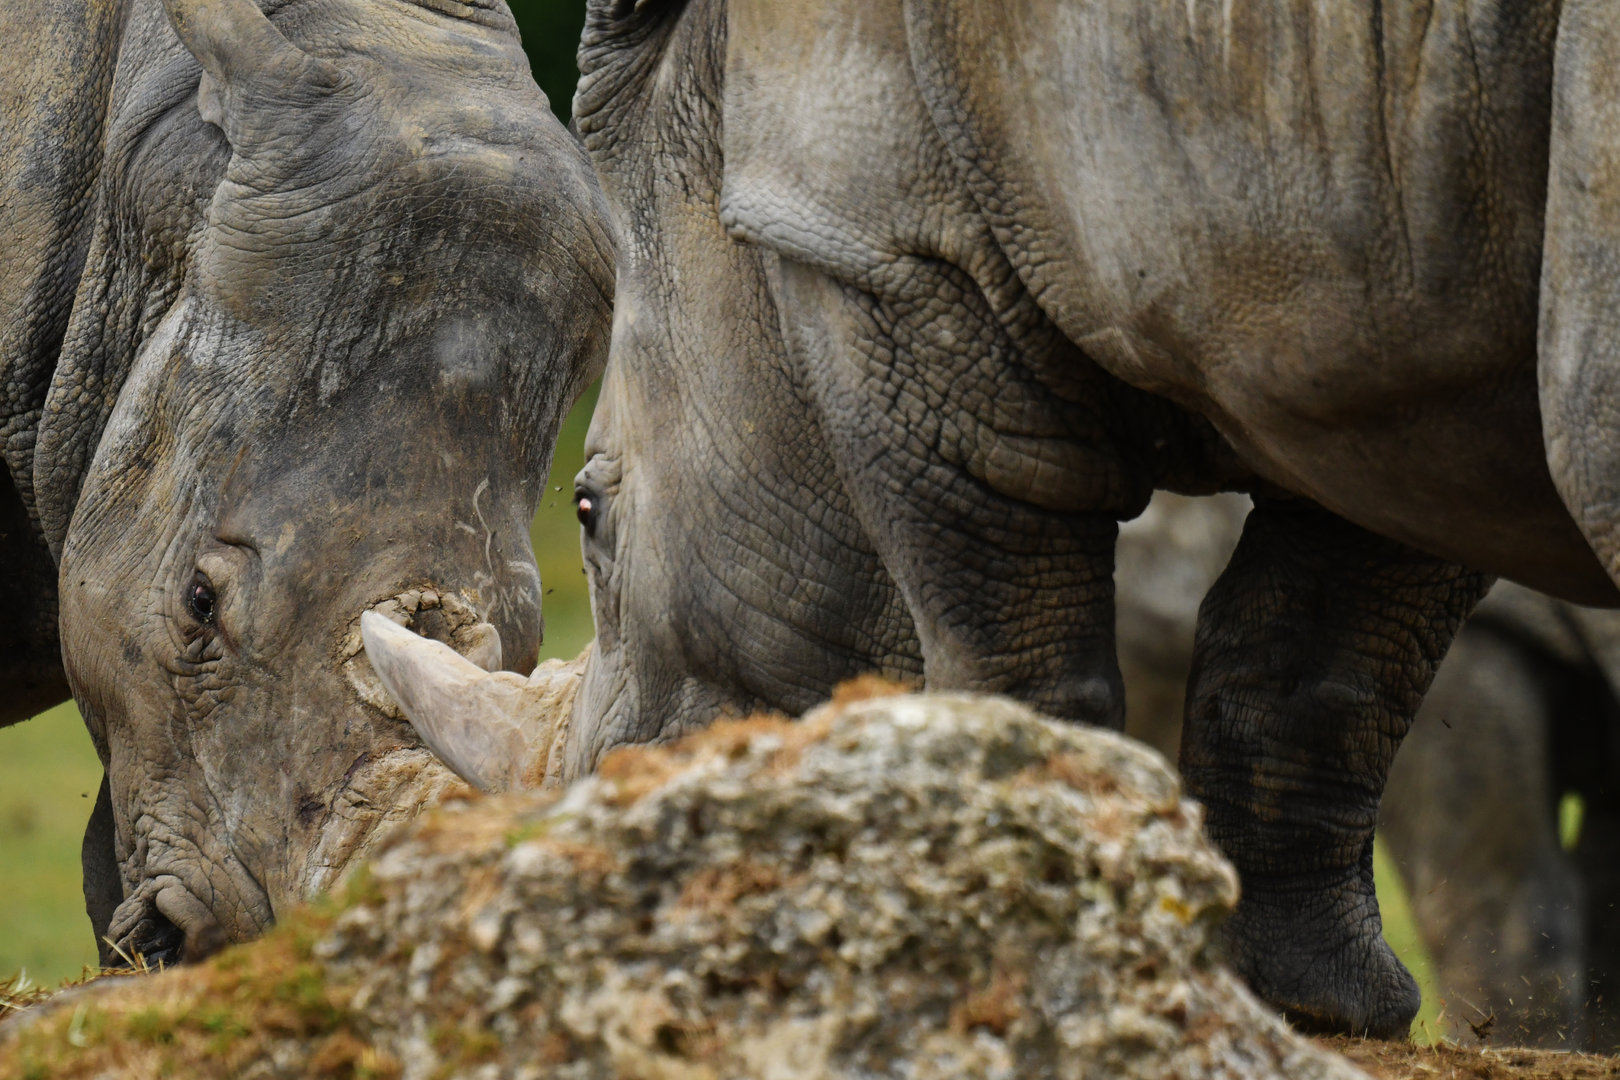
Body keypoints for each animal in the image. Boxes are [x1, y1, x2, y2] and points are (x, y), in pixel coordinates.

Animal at [365, 0, 1620, 1038]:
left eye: (587, 509)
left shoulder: (883, 254)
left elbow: (1007, 636)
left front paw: (1036, 934)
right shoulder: (1380, 334)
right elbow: (1330, 653)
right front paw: (1301, 1010)